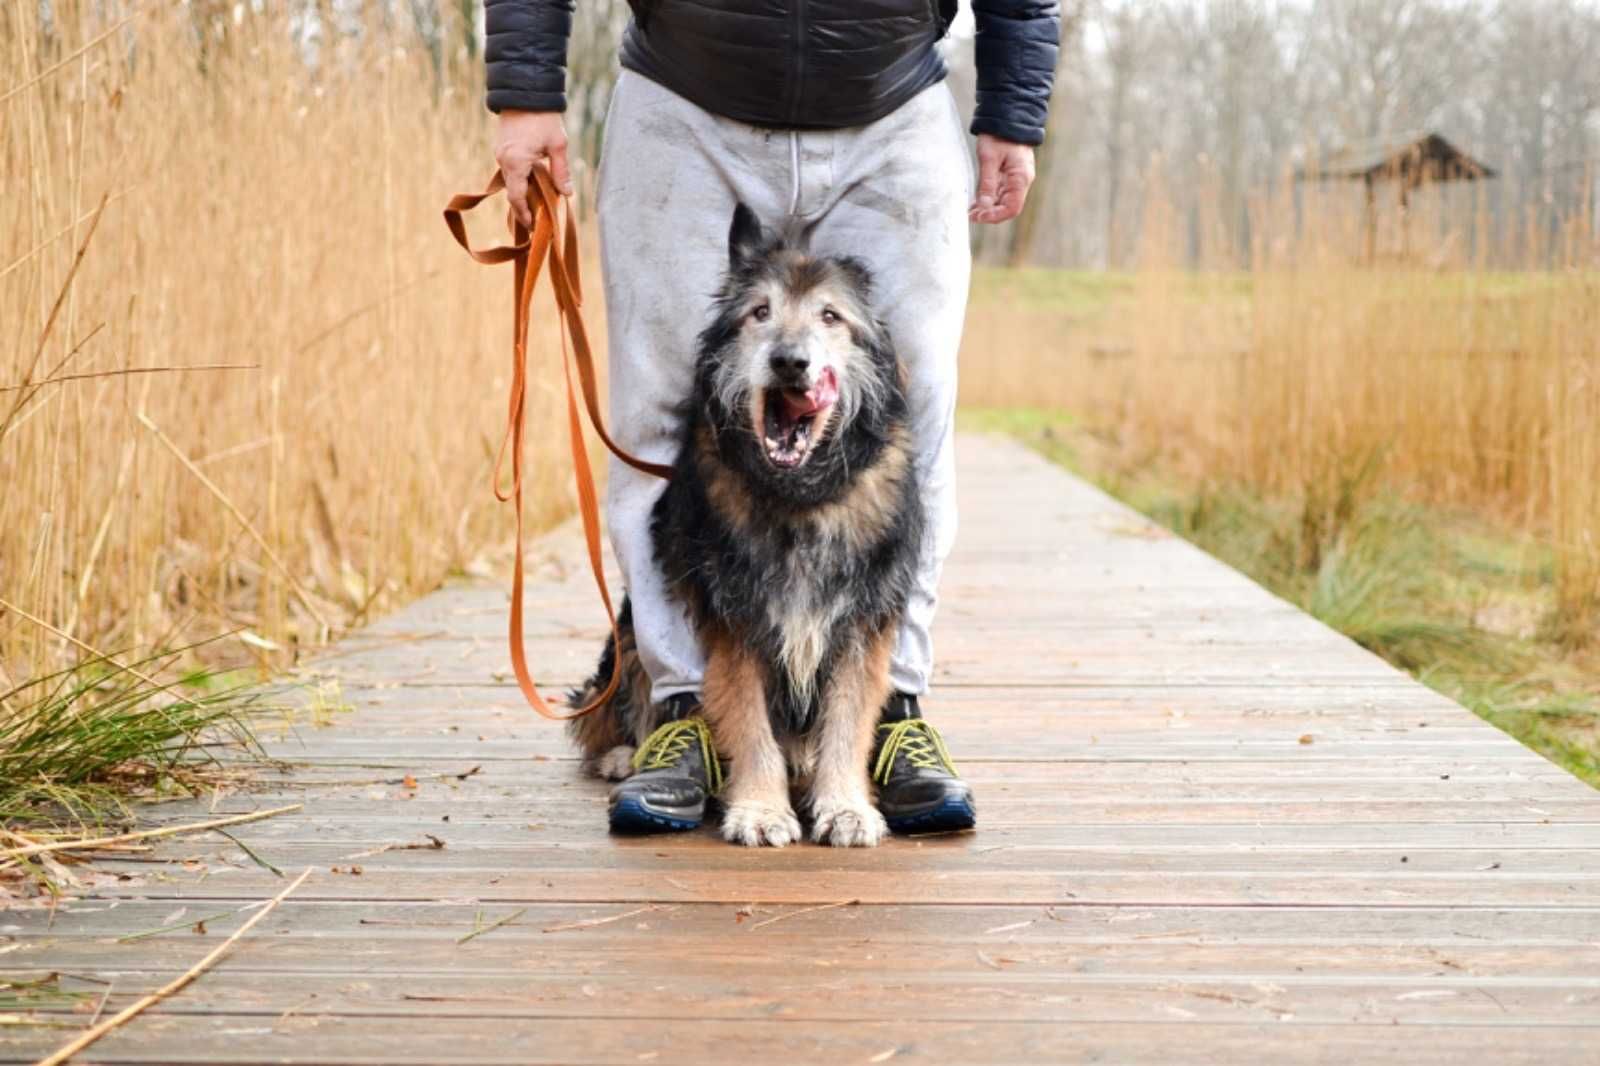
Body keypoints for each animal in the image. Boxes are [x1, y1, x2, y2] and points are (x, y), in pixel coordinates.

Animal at [572, 203, 928, 845]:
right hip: (630, 632)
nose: (789, 360)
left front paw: (844, 805)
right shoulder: (732, 616)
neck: (799, 496)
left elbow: (846, 722)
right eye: (759, 312)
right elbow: (748, 720)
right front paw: (762, 809)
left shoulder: (862, 621)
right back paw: (625, 755)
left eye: (831, 316)